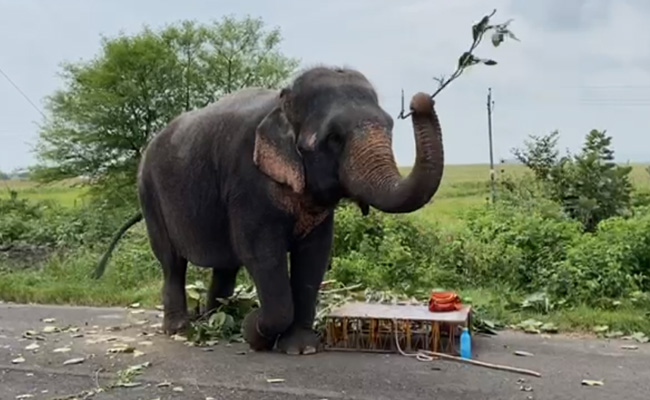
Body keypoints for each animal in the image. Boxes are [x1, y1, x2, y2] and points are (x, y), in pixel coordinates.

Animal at [92, 65, 444, 355]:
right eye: (334, 138)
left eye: (390, 126)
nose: (420, 101)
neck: (282, 104)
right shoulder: (247, 182)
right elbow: (262, 254)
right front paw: (255, 332)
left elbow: (314, 256)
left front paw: (300, 348)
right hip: (149, 194)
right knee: (172, 262)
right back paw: (184, 329)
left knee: (224, 269)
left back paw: (217, 320)